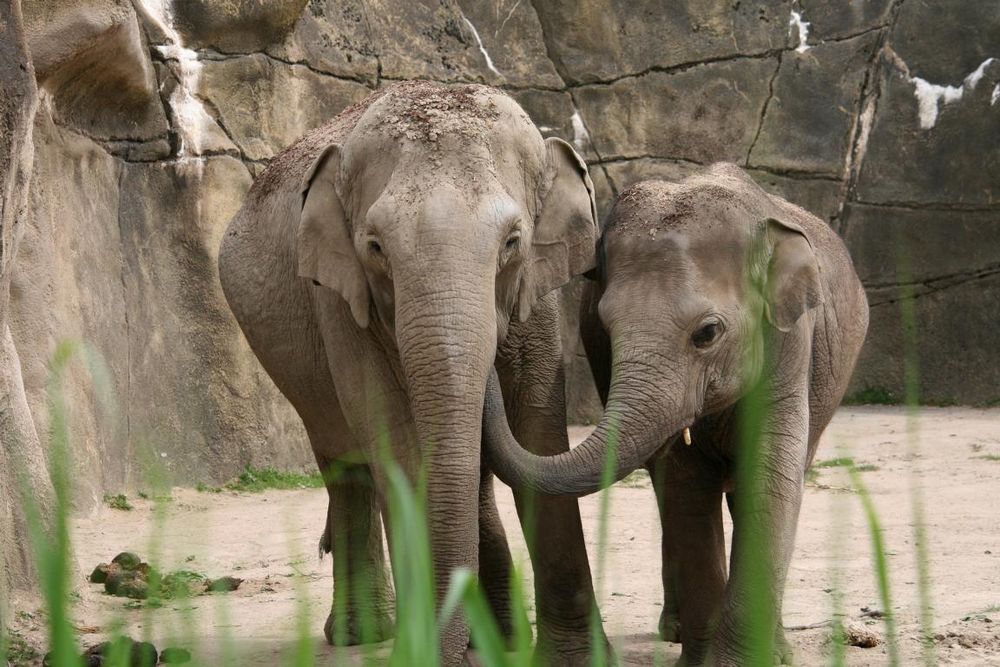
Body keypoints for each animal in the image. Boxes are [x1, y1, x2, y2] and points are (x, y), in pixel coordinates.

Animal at [220, 82, 608, 667]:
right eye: (376, 247)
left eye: (512, 242)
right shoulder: (341, 302)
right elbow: (394, 440)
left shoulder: (539, 295)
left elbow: (536, 432)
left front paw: (572, 658)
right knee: (348, 466)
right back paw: (363, 635)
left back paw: (499, 636)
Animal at [484, 163, 868, 667]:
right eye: (604, 327)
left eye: (707, 333)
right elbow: (687, 486)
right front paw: (702, 660)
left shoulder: (789, 345)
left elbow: (771, 480)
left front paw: (743, 659)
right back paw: (675, 630)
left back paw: (775, 646)